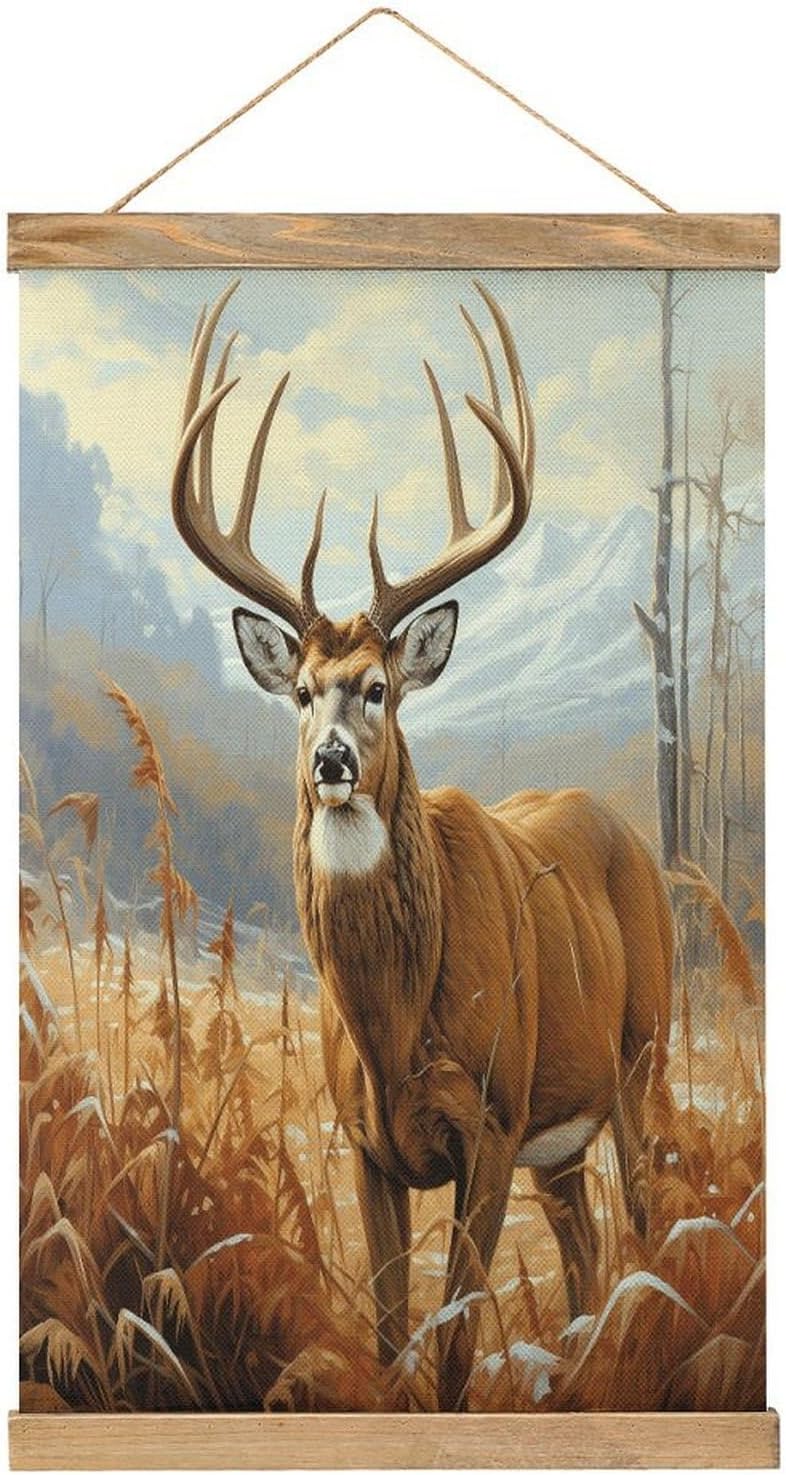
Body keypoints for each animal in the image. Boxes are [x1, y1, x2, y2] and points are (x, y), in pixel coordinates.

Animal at [171, 280, 674, 1411]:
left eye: (377, 687)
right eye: (300, 691)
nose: (332, 762)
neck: (395, 1025)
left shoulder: (488, 1119)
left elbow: (448, 1351)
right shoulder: (371, 1145)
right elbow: (393, 1336)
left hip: (637, 1059)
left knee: (651, 1227)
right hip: (561, 1135)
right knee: (587, 1256)